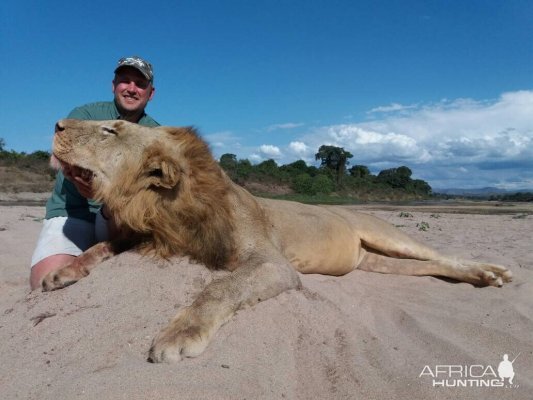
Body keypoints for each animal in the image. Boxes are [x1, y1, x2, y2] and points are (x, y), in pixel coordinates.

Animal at [42, 118, 512, 362]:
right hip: (378, 262)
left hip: (386, 233)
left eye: (111, 130)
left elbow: (219, 288)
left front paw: (179, 335)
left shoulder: (272, 263)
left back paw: (491, 272)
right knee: (429, 266)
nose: (58, 123)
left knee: (444, 255)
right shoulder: (153, 239)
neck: (167, 208)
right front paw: (63, 272)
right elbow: (99, 248)